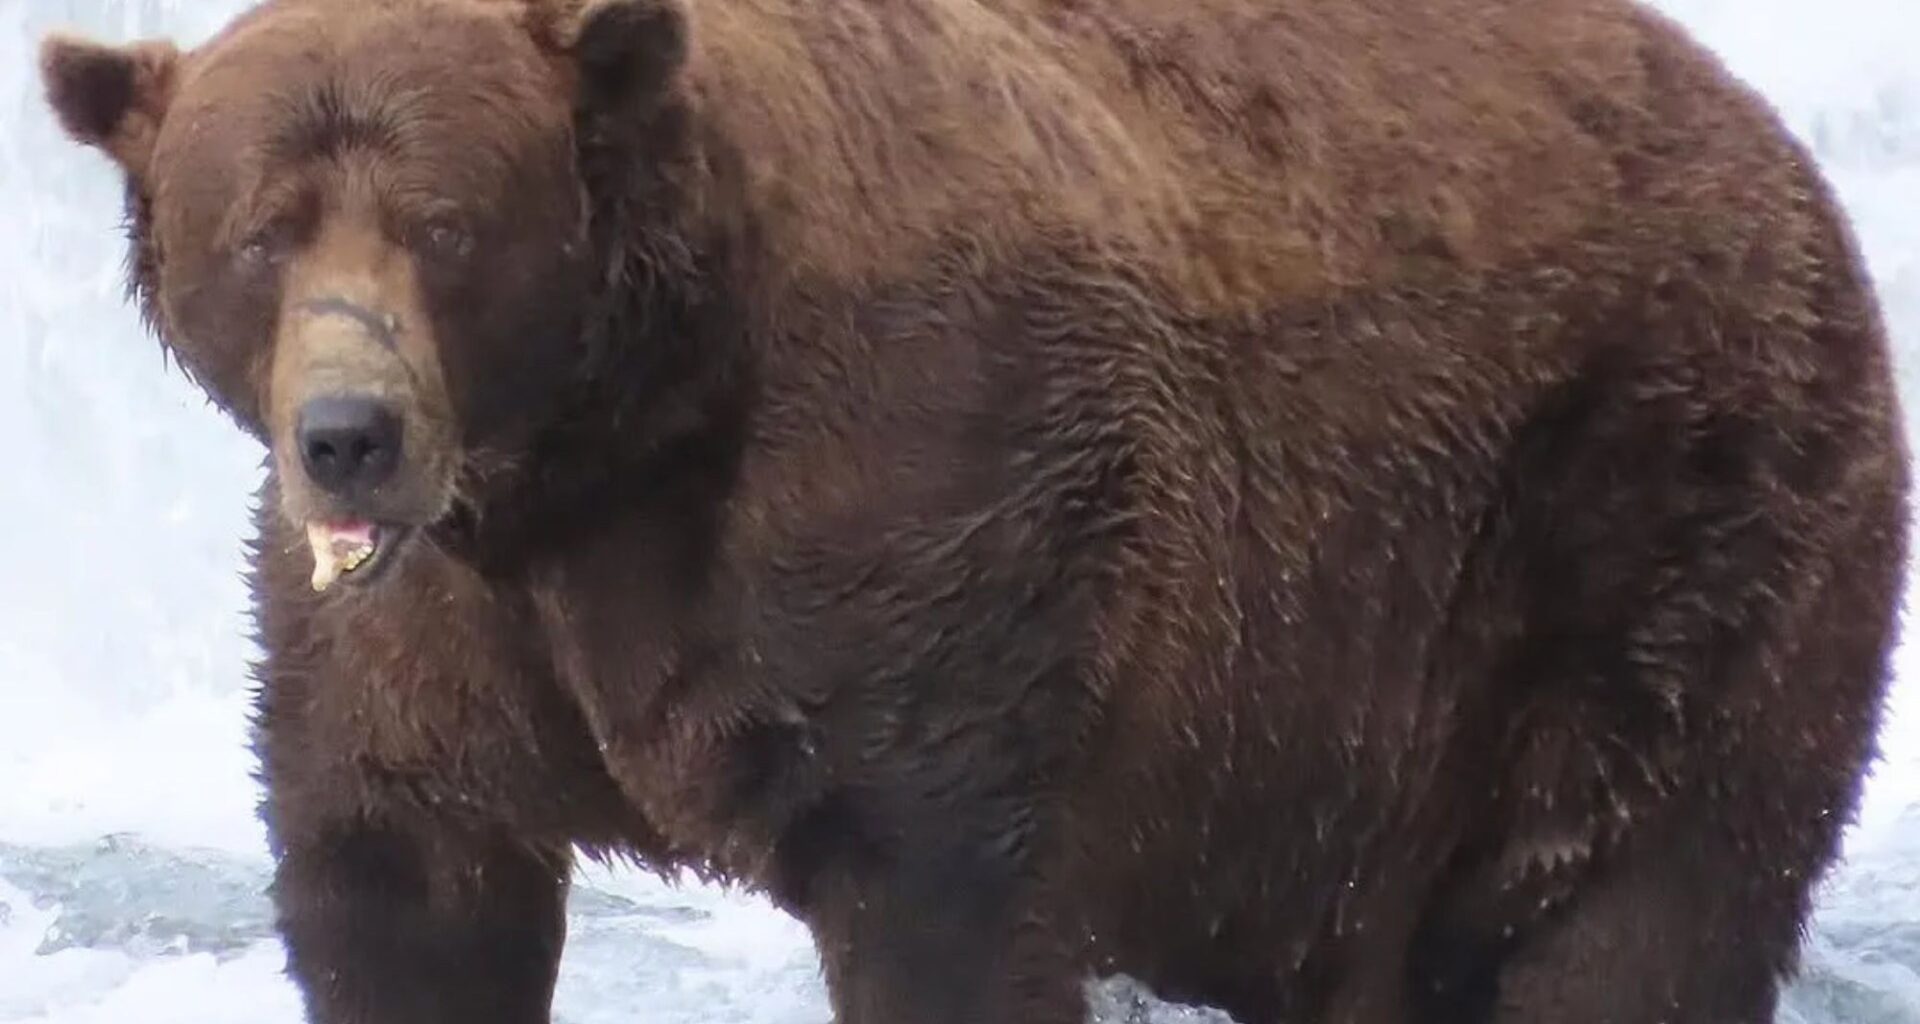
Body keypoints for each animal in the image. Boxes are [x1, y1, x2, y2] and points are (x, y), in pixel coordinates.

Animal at [37, 0, 1911, 1021]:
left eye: (445, 223)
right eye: (261, 230)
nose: (350, 434)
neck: (603, 451)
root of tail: (1778, 145)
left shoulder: (926, 514)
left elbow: (941, 891)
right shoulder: (433, 638)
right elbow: (398, 877)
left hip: (1655, 523)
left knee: (1637, 907)